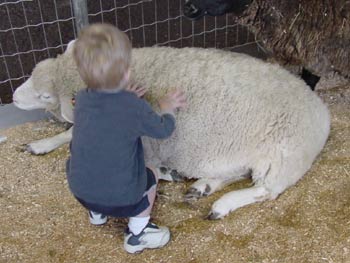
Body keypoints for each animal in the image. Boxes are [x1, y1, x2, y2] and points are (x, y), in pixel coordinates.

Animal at [14, 40, 330, 219]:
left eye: (45, 95)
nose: (14, 96)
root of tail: (321, 111)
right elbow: (71, 133)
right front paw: (41, 144)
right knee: (237, 174)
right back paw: (203, 187)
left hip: (282, 158)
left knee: (265, 190)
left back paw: (221, 204)